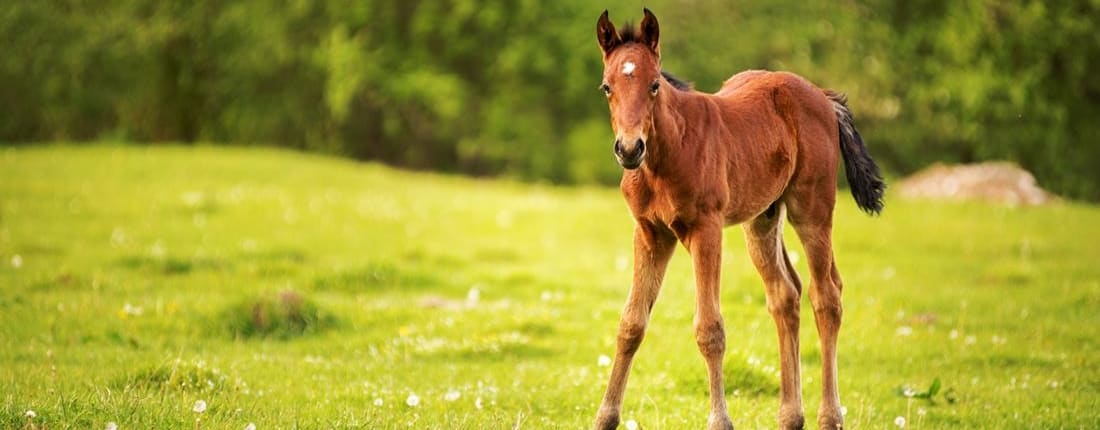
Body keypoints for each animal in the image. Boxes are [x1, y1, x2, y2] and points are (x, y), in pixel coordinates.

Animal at [591, 9, 885, 430]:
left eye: (654, 85)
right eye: (606, 87)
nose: (630, 149)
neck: (670, 151)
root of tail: (823, 97)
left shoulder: (706, 229)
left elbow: (710, 329)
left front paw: (720, 420)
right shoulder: (650, 232)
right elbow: (631, 324)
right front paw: (604, 417)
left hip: (811, 208)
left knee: (826, 296)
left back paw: (829, 417)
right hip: (761, 219)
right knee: (785, 294)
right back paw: (790, 416)